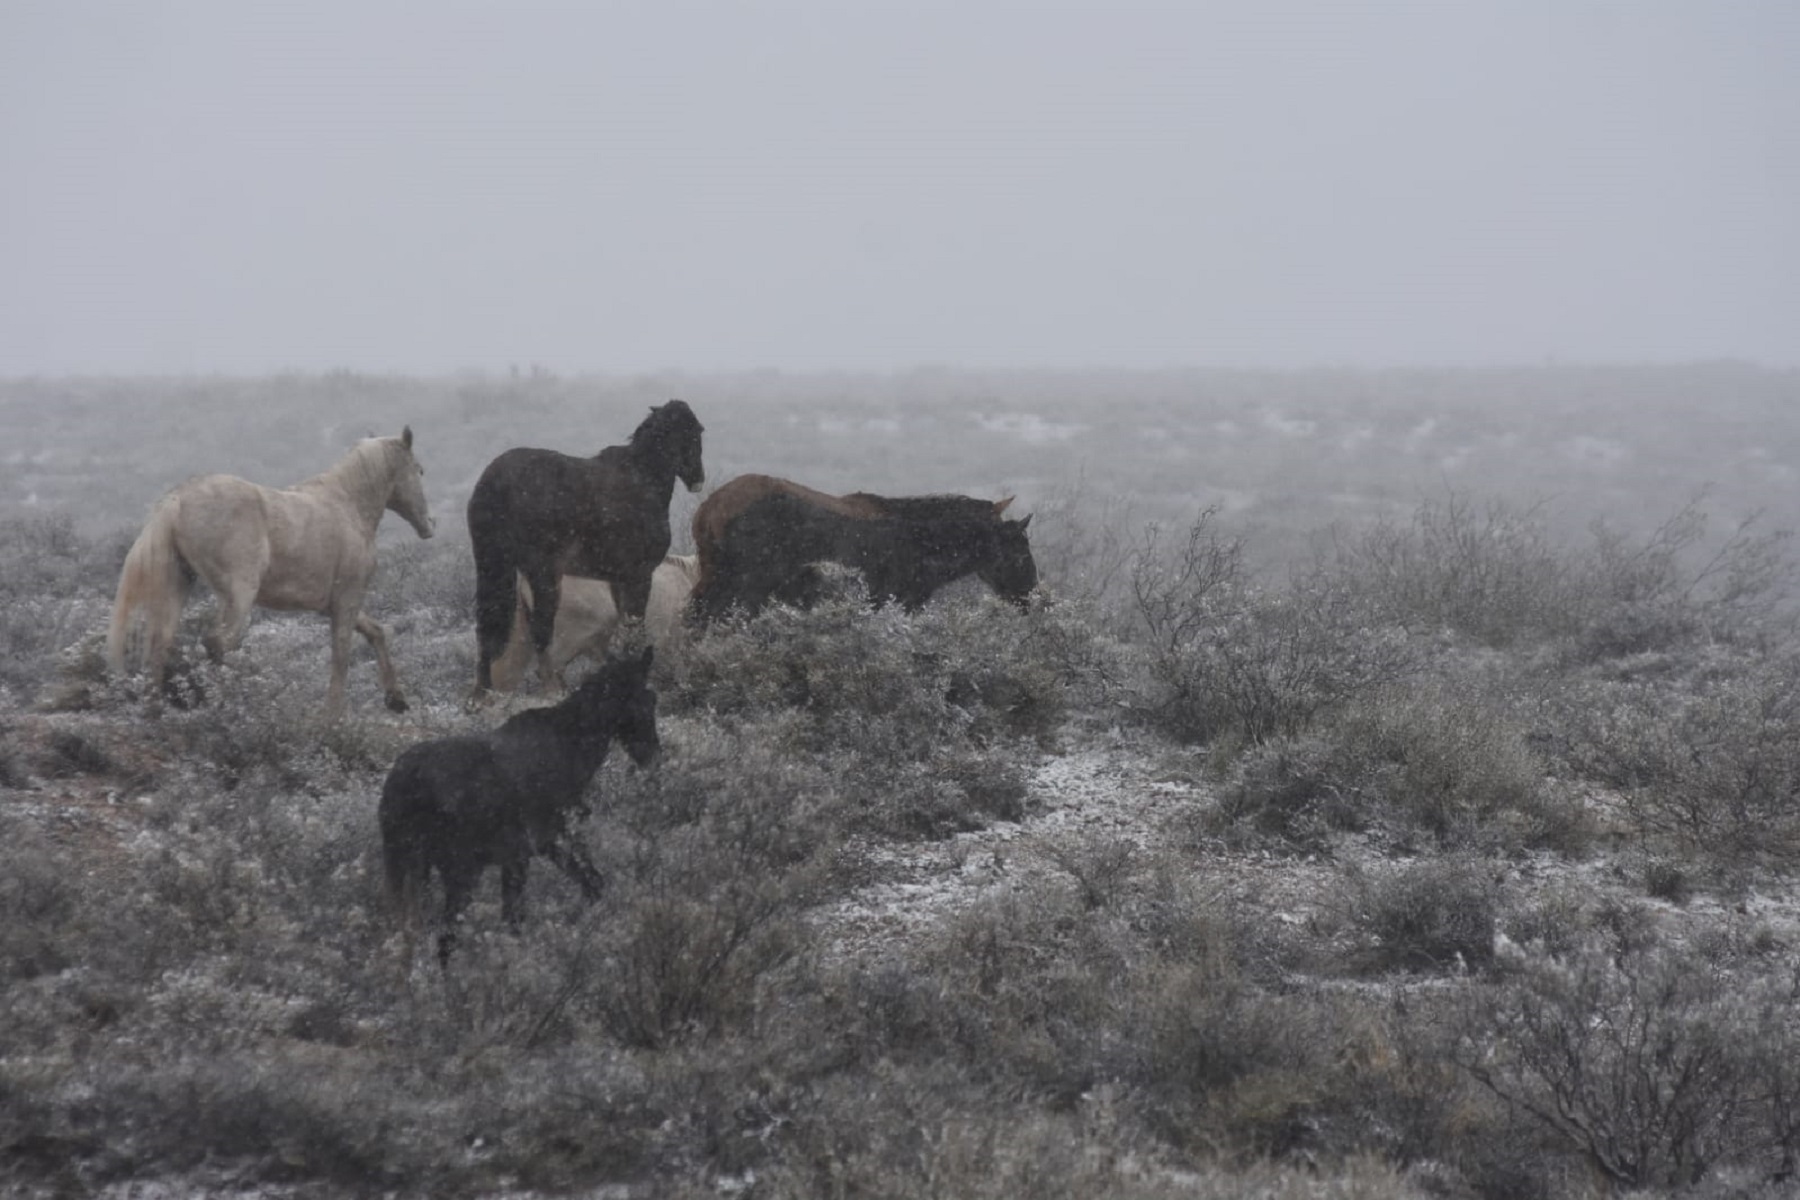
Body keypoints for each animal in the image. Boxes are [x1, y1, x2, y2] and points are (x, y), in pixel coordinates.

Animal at [109, 426, 439, 719]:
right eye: (420, 470)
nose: (429, 525)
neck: (347, 505)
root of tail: (178, 500)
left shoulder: (331, 604)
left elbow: (376, 632)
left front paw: (396, 699)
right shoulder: (347, 598)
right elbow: (341, 654)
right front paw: (333, 715)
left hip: (179, 584)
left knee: (160, 646)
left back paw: (155, 712)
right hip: (239, 593)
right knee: (218, 642)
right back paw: (229, 704)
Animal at [379, 647, 662, 964]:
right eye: (646, 699)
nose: (652, 754)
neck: (572, 749)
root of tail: (400, 787)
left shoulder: (521, 855)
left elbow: (519, 918)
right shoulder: (552, 841)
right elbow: (589, 885)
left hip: (419, 868)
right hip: (459, 870)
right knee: (445, 938)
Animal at [684, 467, 1036, 626]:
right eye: (1019, 551)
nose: (1032, 596)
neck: (924, 547)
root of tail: (706, 512)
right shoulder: (897, 600)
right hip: (747, 588)